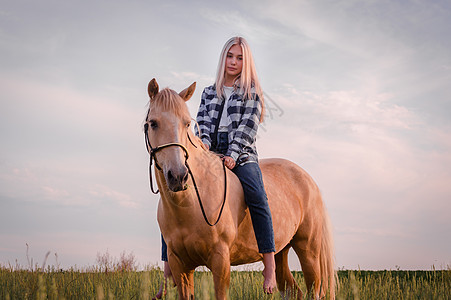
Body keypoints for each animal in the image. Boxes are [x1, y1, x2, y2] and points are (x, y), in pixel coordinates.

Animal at [144, 78, 336, 298]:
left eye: (186, 124)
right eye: (153, 123)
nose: (178, 176)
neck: (191, 203)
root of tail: (308, 179)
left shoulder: (220, 261)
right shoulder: (180, 265)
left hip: (309, 251)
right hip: (282, 251)